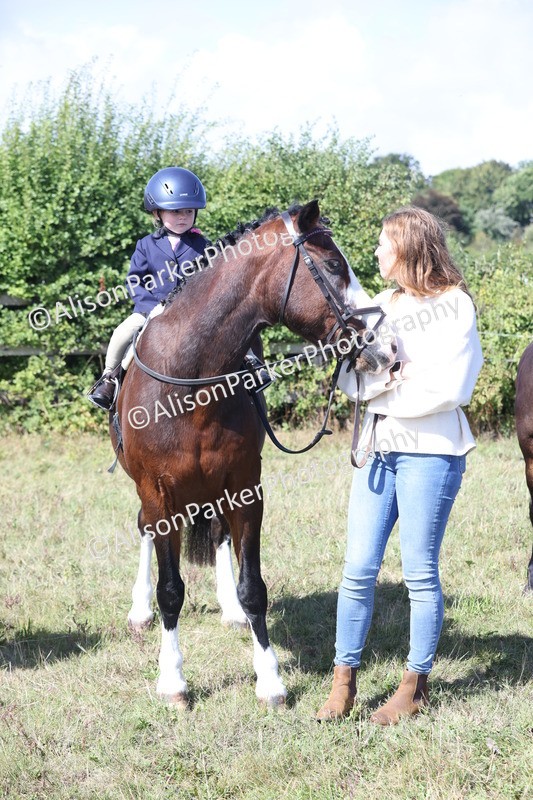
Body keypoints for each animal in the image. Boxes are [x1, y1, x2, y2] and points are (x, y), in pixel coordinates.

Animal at [111, 200, 395, 707]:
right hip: (152, 496)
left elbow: (253, 587)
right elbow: (171, 590)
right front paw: (172, 680)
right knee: (144, 530)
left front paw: (270, 679)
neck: (191, 381)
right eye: (334, 266)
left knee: (219, 534)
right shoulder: (158, 492)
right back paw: (139, 610)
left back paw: (229, 610)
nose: (381, 346)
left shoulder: (245, 488)